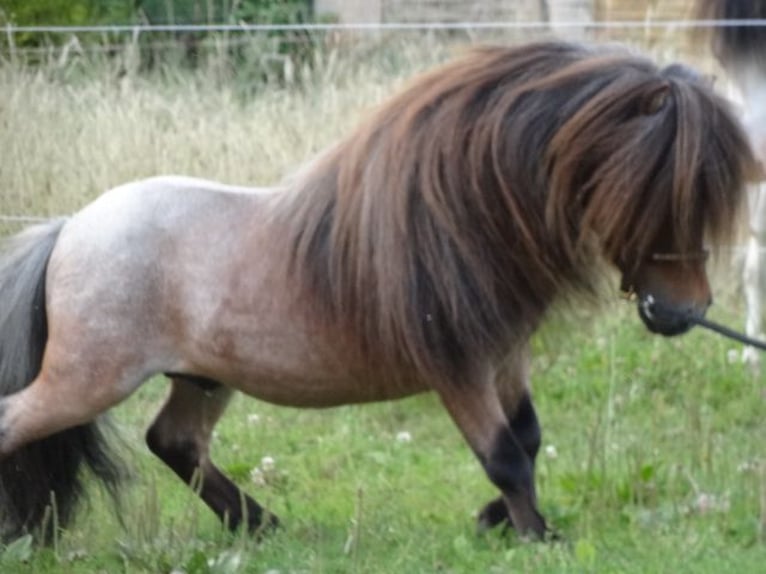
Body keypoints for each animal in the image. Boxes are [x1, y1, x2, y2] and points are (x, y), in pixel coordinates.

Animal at [0, 40, 760, 544]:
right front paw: (537, 535)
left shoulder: (504, 359)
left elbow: (528, 440)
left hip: (201, 378)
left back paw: (260, 525)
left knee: (175, 442)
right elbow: (504, 455)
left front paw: (499, 522)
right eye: (662, 193)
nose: (684, 313)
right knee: (21, 424)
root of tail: (70, 230)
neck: (463, 214)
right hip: (89, 379)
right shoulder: (459, 369)